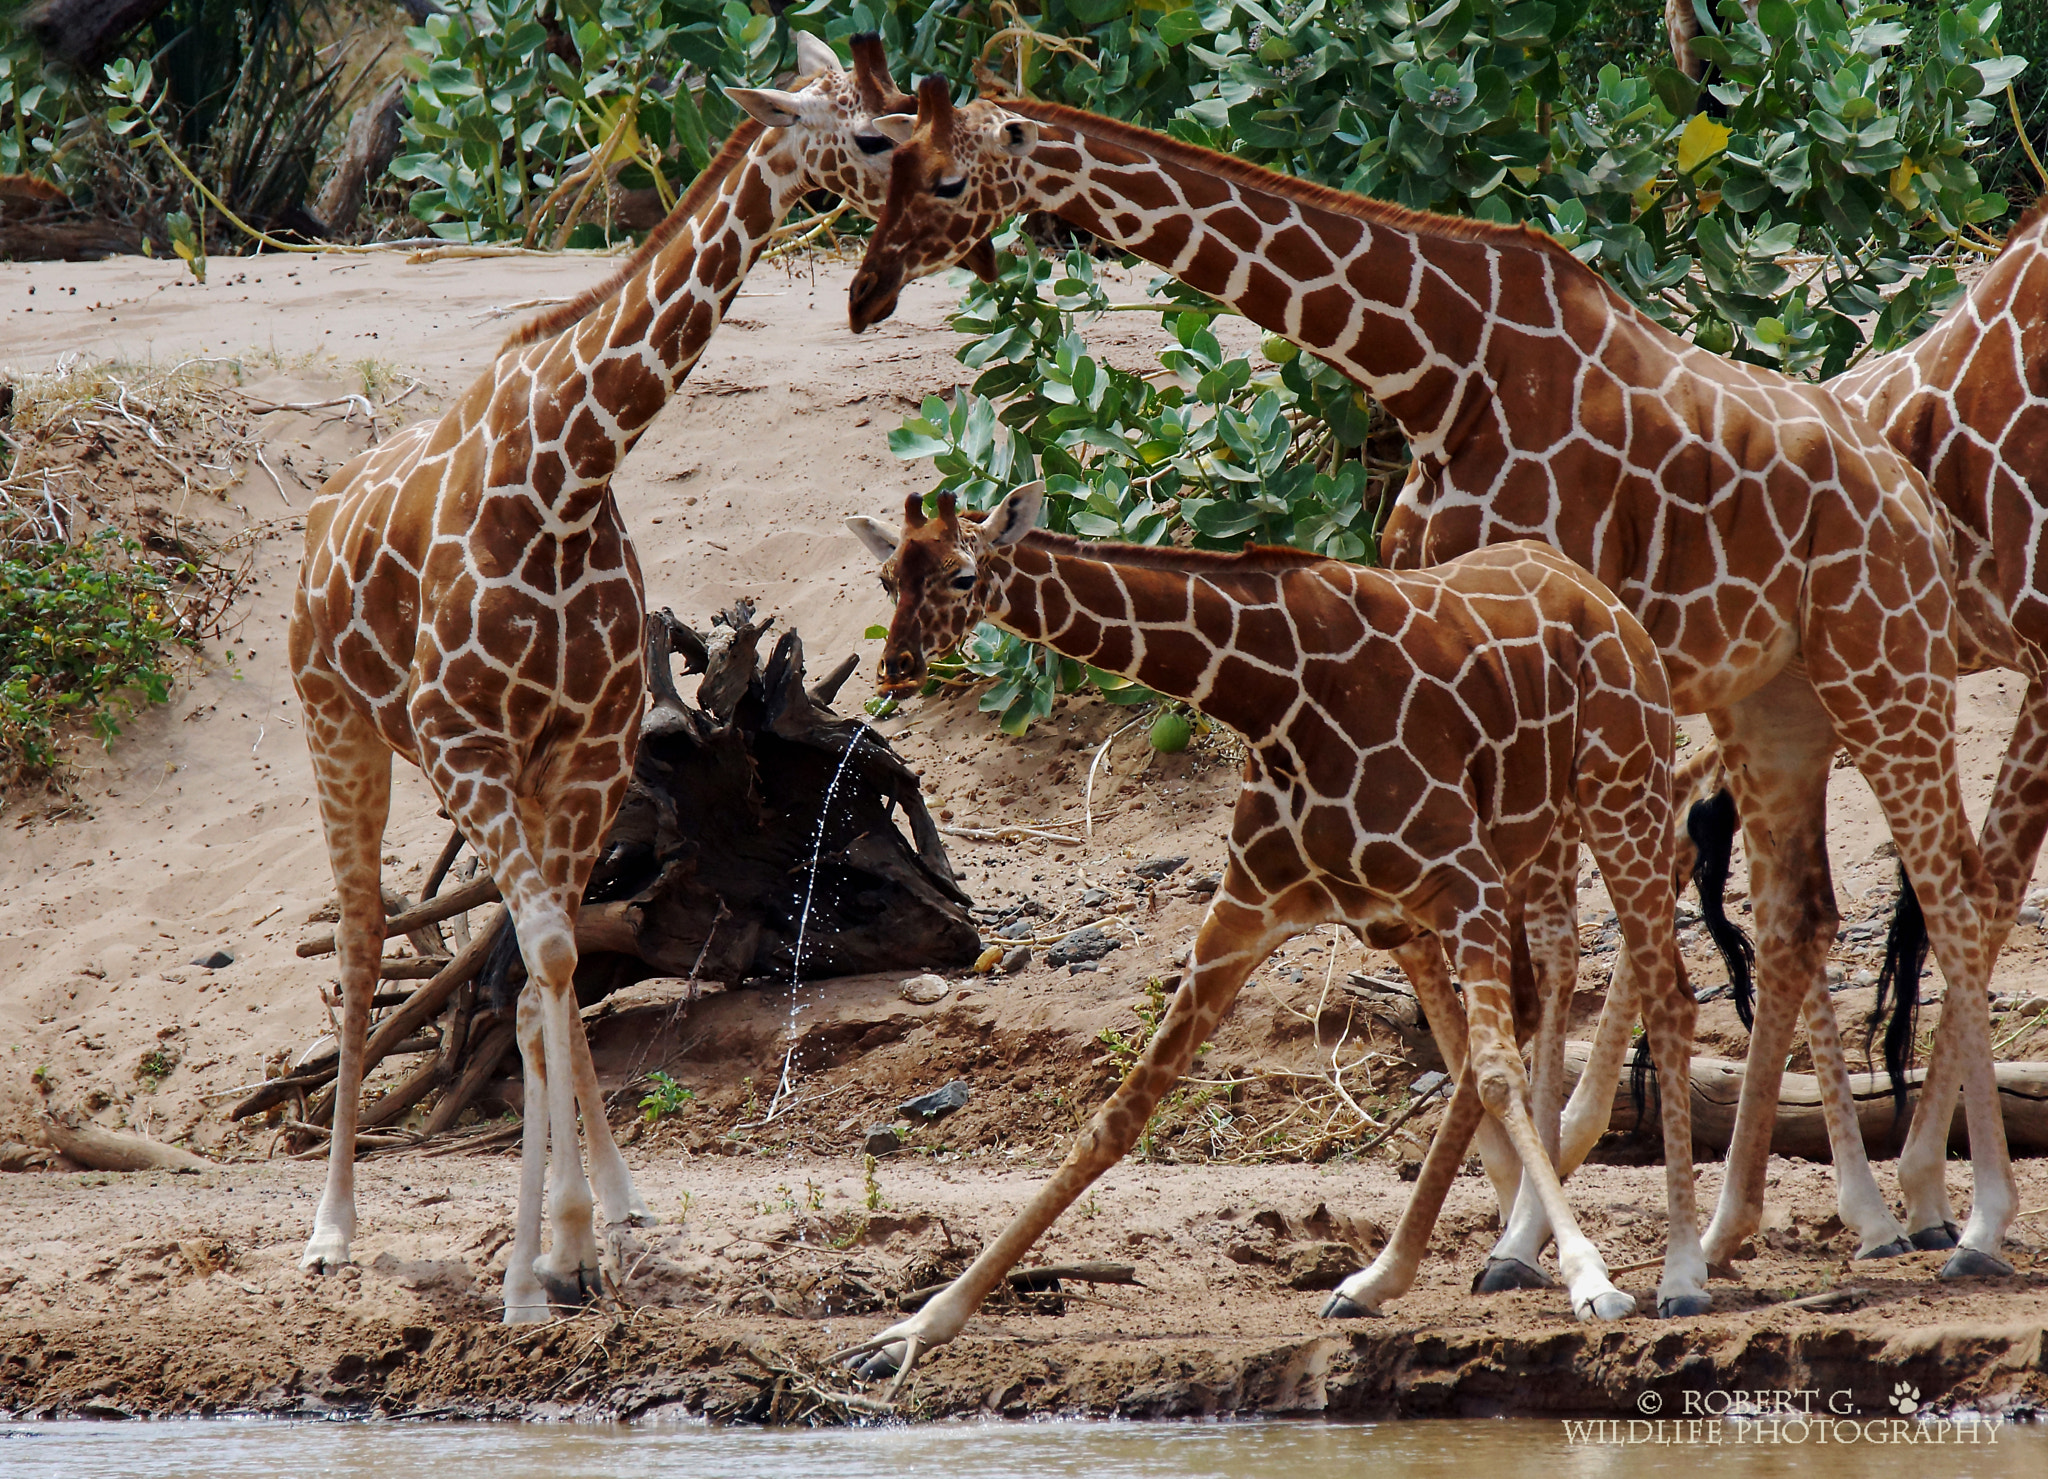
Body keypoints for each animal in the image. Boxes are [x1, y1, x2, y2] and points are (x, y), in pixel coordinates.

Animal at [288, 34, 942, 1319]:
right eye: (867, 134)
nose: (944, 194)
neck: (569, 467)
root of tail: (316, 525)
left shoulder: (584, 748)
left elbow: (548, 968)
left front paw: (569, 1245)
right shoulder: (463, 740)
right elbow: (538, 962)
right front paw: (529, 1277)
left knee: (526, 964)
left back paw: (610, 1207)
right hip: (341, 726)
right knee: (361, 939)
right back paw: (333, 1228)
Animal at [831, 487, 1712, 1392]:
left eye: (963, 575)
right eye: (887, 576)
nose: (897, 664)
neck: (1270, 697)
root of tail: (1601, 594)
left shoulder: (1459, 874)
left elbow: (1499, 1071)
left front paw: (1593, 1277)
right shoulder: (1249, 908)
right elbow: (1118, 1114)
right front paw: (914, 1328)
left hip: (1619, 792)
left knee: (1665, 995)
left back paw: (1678, 1273)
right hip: (1518, 846)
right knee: (1548, 1000)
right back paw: (1397, 1273)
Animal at [835, 86, 2015, 1270]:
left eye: (947, 179)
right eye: (875, 161)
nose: (864, 290)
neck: (1437, 366)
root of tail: (1911, 491)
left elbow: (1544, 957)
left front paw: (1523, 1218)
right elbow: (1466, 956)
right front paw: (1501, 1206)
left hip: (1881, 671)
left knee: (1948, 883)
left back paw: (1954, 1214)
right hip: (1768, 701)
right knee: (1799, 915)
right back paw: (1823, 1217)